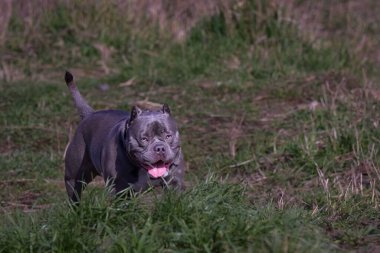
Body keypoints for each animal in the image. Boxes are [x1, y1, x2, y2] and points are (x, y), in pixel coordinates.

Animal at [64, 71, 186, 202]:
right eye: (144, 139)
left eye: (168, 136)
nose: (160, 148)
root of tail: (89, 114)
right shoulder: (119, 190)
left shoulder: (174, 184)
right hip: (74, 178)